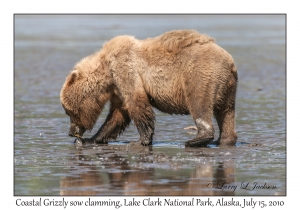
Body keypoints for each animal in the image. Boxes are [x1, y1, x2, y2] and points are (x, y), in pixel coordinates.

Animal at [59, 29, 238, 147]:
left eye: (69, 112)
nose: (71, 132)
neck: (106, 73)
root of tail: (230, 61)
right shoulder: (118, 87)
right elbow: (117, 115)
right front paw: (91, 139)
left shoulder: (125, 70)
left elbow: (137, 105)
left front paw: (140, 141)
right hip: (227, 87)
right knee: (226, 112)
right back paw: (225, 140)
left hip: (200, 73)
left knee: (199, 102)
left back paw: (196, 140)